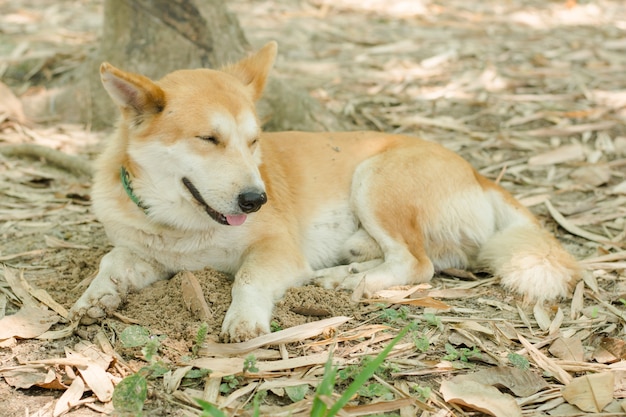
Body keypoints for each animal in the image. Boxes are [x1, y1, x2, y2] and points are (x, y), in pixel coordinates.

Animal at [67, 41, 576, 342]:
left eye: (253, 141)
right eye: (208, 139)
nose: (256, 200)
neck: (180, 225)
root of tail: (477, 173)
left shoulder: (277, 250)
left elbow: (247, 277)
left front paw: (244, 319)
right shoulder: (146, 253)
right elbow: (111, 262)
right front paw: (95, 298)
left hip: (375, 178)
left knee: (417, 263)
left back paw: (349, 280)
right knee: (426, 258)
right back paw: (347, 266)